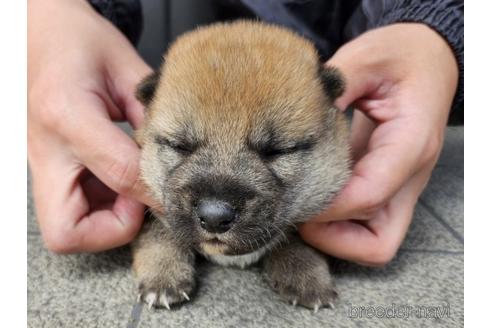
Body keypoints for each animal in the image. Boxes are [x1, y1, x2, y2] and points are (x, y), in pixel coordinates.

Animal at [133, 20, 352, 312]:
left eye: (278, 150)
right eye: (180, 145)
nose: (214, 217)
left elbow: (296, 236)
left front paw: (306, 274)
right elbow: (159, 232)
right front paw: (163, 274)